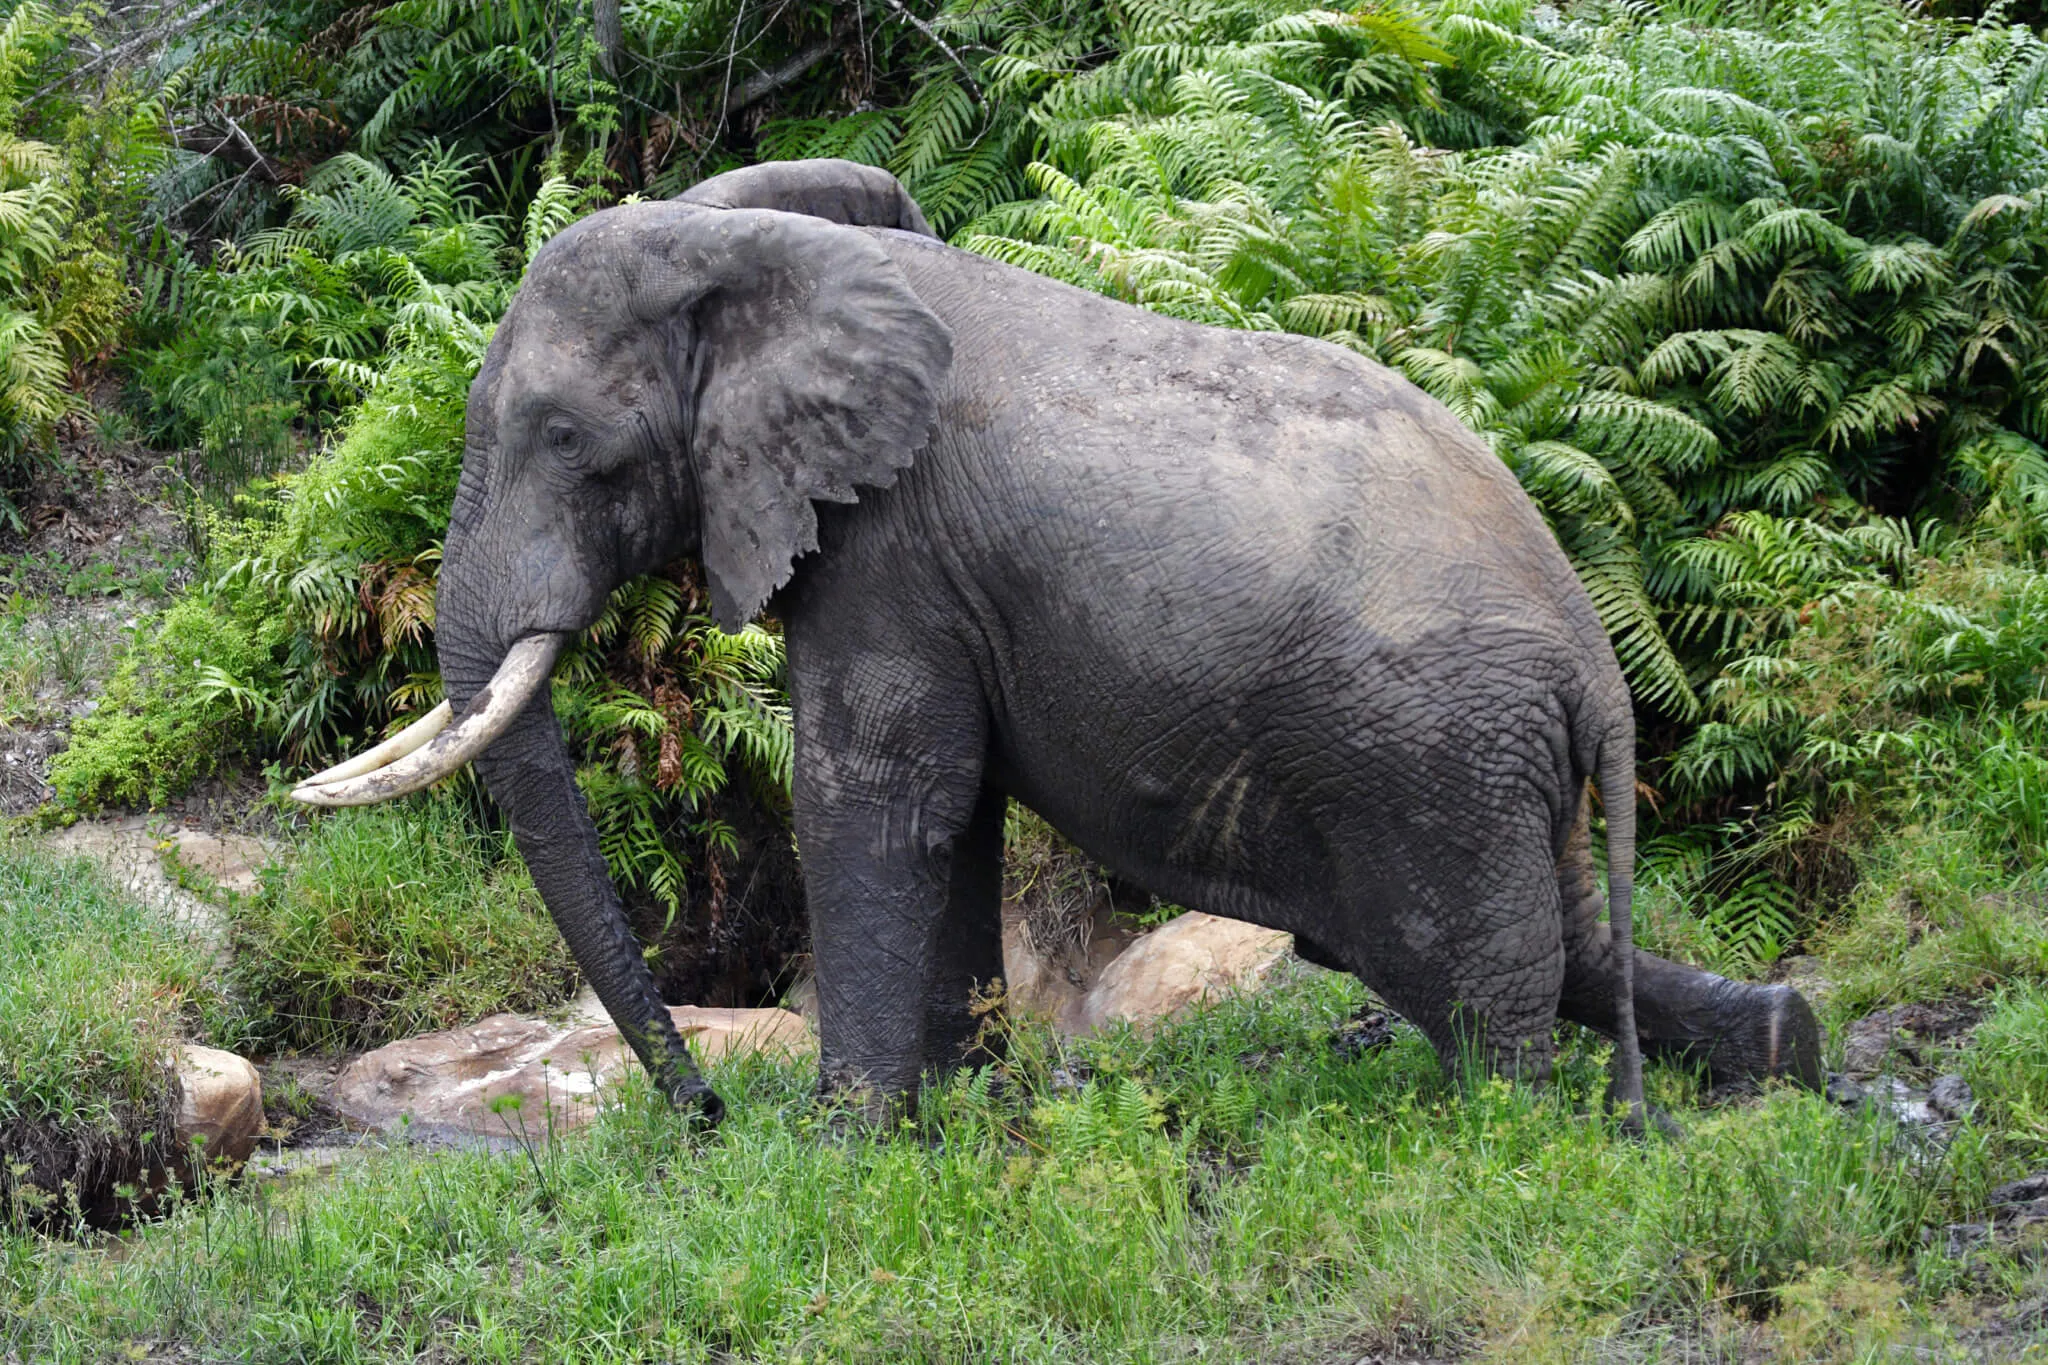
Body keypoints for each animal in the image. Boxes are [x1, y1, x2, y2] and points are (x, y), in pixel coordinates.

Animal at [294, 158, 1823, 1128]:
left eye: (564, 440)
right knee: (1534, 938)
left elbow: (875, 800)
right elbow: (949, 813)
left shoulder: (891, 549)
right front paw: (967, 1114)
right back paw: (1780, 1053)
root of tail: (1596, 660)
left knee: (1457, 964)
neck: (759, 249)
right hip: (1479, 763)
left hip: (1429, 750)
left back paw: (1511, 1137)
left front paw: (844, 1148)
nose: (706, 1112)